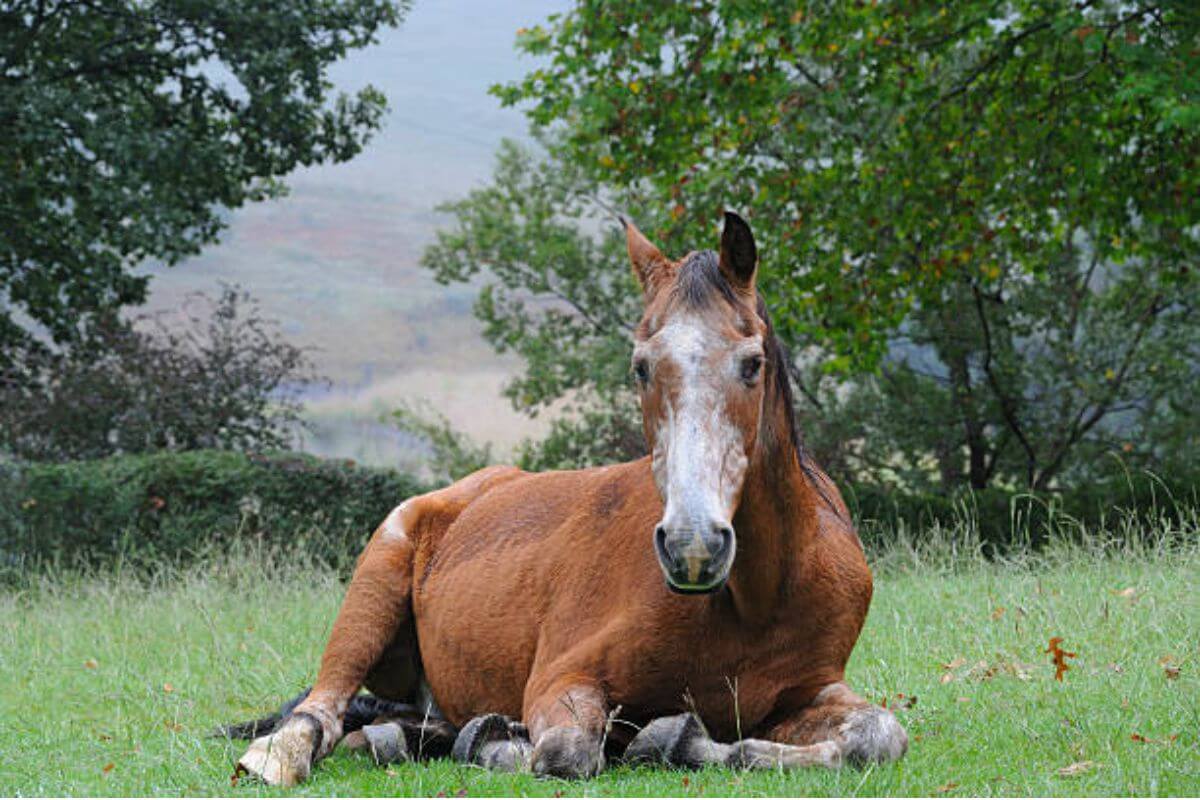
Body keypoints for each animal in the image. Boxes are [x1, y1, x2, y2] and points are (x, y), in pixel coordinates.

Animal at [229, 209, 907, 786]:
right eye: (640, 366)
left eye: (753, 363)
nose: (693, 547)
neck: (756, 597)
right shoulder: (562, 678)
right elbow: (567, 750)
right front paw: (508, 744)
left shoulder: (809, 692)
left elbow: (878, 735)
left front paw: (672, 738)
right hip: (373, 586)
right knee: (322, 709)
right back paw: (289, 753)